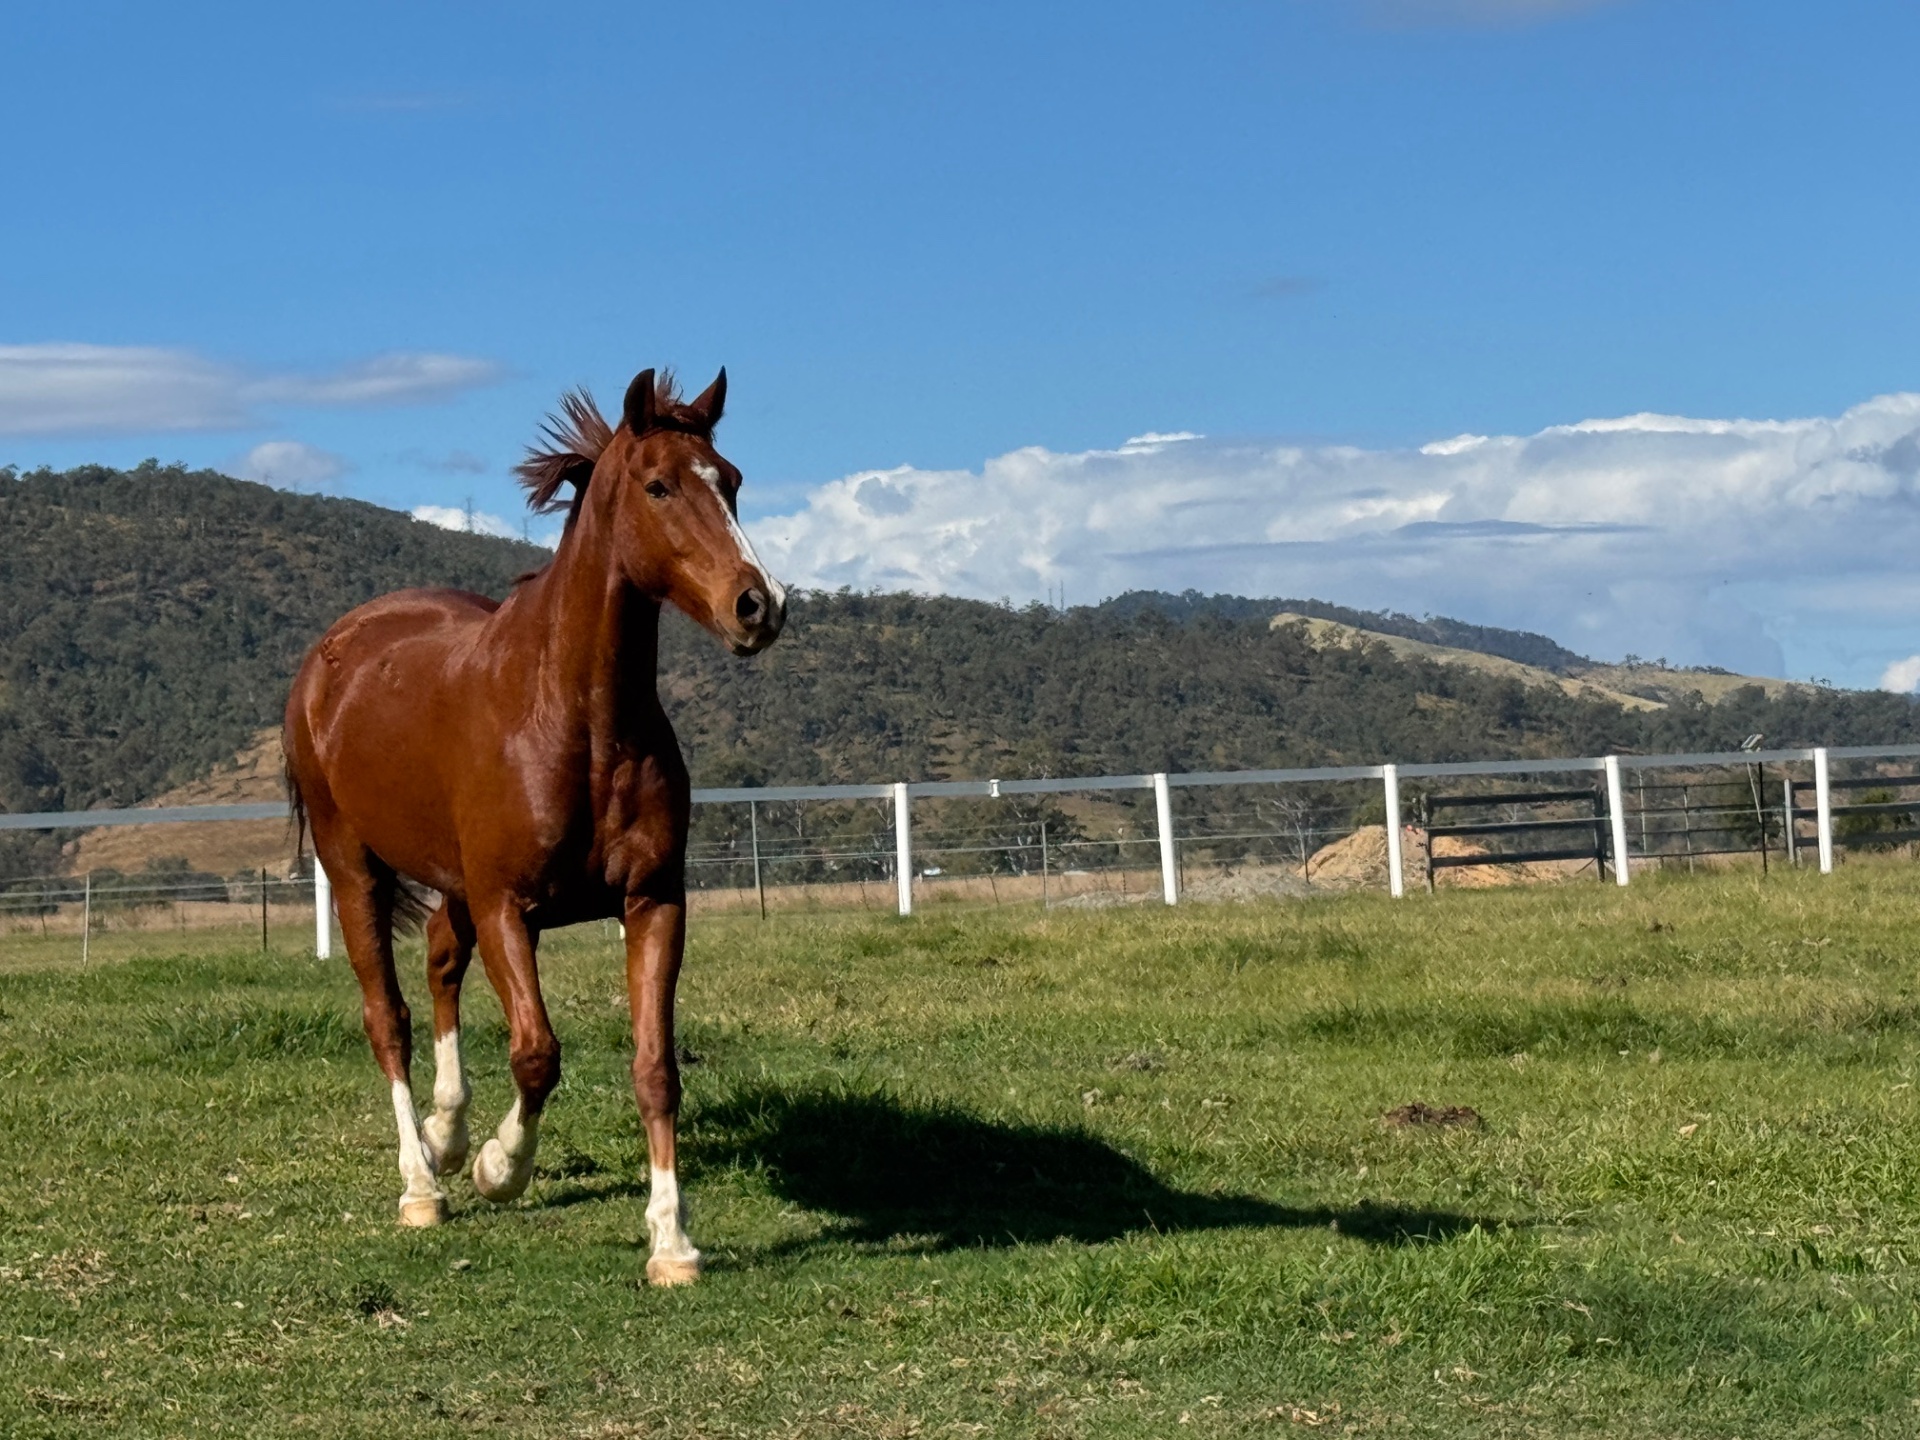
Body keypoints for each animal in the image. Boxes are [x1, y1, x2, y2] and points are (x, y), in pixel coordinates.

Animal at [282, 366, 784, 1286]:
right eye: (659, 485)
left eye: (730, 481)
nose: (759, 606)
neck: (579, 721)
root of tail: (333, 652)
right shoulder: (507, 906)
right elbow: (536, 1053)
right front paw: (497, 1166)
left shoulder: (653, 902)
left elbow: (655, 1069)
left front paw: (672, 1241)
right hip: (354, 864)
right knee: (389, 1018)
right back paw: (423, 1183)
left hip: (451, 884)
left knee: (440, 964)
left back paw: (445, 1133)